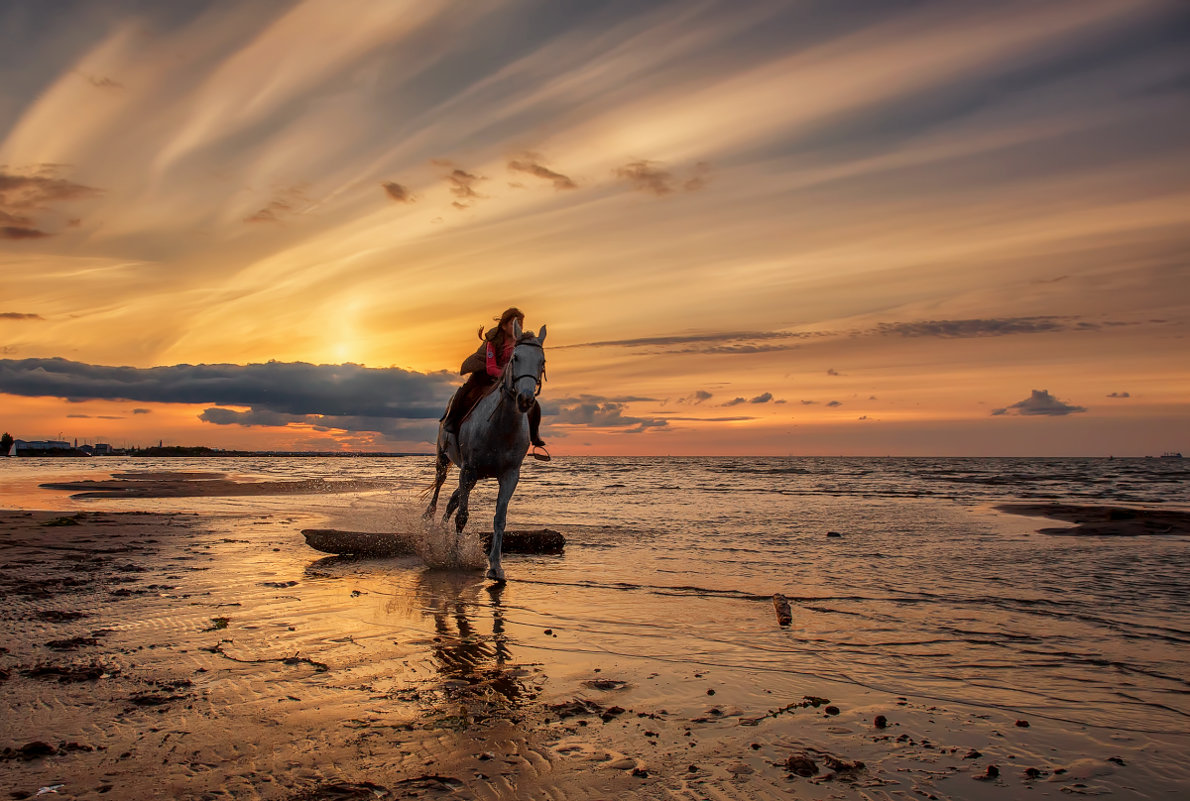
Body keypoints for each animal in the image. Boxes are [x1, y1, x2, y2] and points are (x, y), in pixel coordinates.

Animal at [428, 323, 547, 580]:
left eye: (542, 361)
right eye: (515, 357)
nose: (525, 399)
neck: (500, 427)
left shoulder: (510, 476)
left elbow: (499, 519)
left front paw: (496, 566)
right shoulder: (469, 469)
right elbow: (463, 516)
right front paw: (454, 556)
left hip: (475, 476)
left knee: (452, 500)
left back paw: (440, 531)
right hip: (446, 461)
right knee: (439, 490)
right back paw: (428, 521)